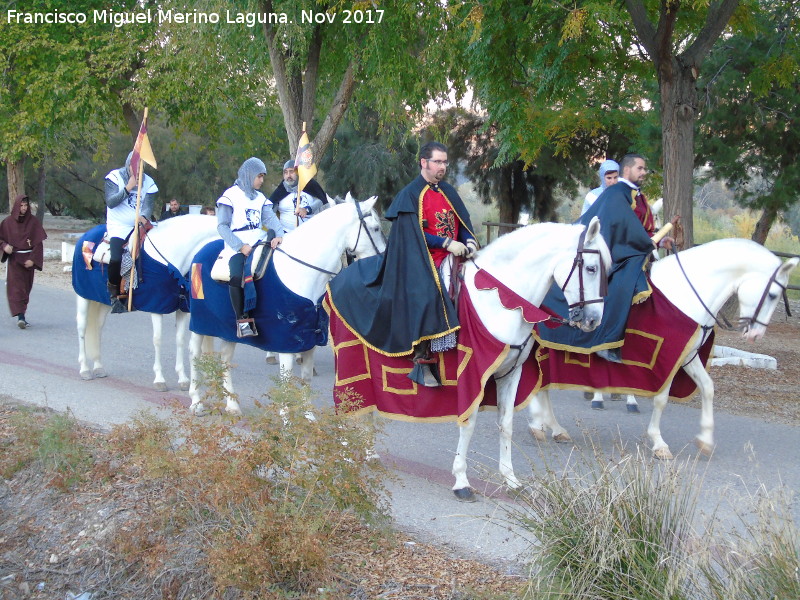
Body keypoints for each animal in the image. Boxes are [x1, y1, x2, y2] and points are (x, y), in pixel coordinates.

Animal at [76, 216, 219, 390]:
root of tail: (84, 237)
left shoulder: (181, 308)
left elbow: (180, 340)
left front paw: (183, 378)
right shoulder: (157, 306)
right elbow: (157, 340)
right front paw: (159, 379)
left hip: (103, 302)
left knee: (97, 327)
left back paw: (98, 366)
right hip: (83, 296)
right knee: (82, 328)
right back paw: (84, 369)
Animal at [189, 197, 386, 418]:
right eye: (376, 228)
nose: (383, 260)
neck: (301, 271)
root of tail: (200, 253)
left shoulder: (309, 338)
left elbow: (306, 378)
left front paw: (309, 417)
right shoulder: (287, 341)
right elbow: (286, 381)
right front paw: (286, 420)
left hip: (229, 329)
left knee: (225, 359)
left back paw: (232, 405)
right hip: (199, 324)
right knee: (194, 355)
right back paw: (196, 402)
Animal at [528, 239, 796, 460]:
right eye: (773, 295)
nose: (755, 335)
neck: (685, 294)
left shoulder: (688, 356)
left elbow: (708, 388)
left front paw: (705, 440)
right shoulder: (667, 359)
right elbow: (661, 399)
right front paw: (659, 443)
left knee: (542, 384)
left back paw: (552, 427)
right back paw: (540, 424)